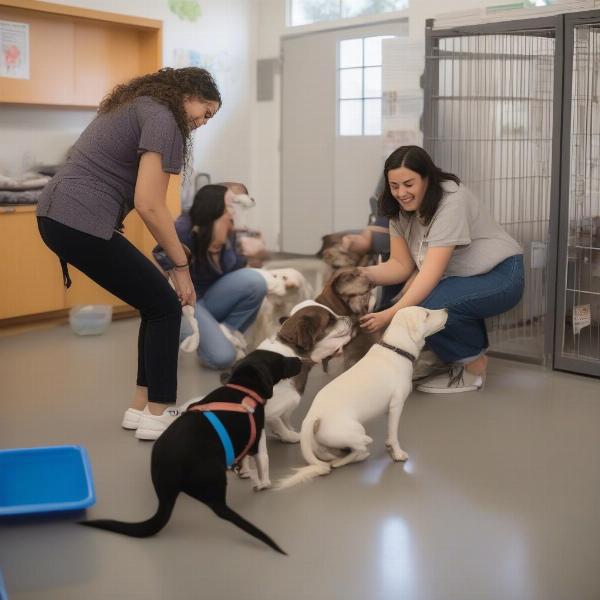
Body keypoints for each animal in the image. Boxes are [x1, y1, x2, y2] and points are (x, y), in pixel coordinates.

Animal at [80, 352, 302, 552]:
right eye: (282, 360)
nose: (300, 359)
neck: (243, 387)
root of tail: (168, 482)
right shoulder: (256, 438)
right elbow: (263, 460)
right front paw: (263, 482)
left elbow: (246, 459)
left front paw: (247, 472)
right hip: (215, 479)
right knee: (221, 508)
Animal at [276, 308, 446, 490]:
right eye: (427, 314)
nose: (446, 309)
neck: (397, 349)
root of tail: (313, 415)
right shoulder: (396, 406)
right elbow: (393, 434)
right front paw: (397, 453)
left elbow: (389, 433)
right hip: (356, 431)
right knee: (361, 450)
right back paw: (351, 453)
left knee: (332, 453)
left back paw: (336, 458)